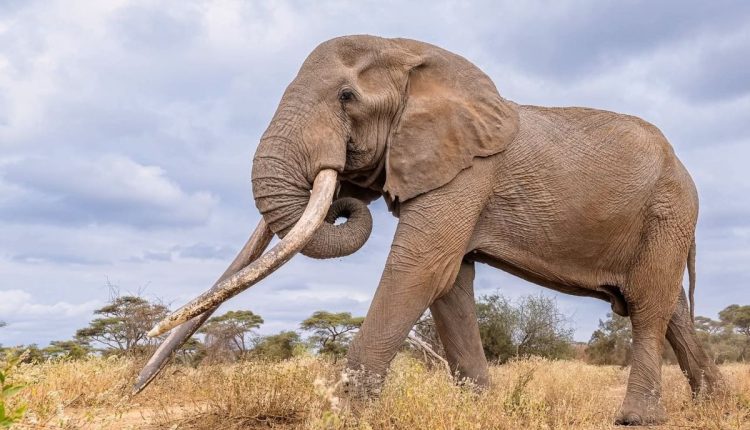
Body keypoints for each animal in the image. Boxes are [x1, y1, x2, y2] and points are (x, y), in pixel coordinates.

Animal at [137, 35, 725, 425]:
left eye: (346, 97)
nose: (132, 389)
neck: (413, 56)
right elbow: (450, 284)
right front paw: (482, 411)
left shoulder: (468, 171)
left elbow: (420, 269)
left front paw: (342, 417)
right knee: (670, 307)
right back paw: (715, 403)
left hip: (670, 209)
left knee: (648, 304)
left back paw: (638, 419)